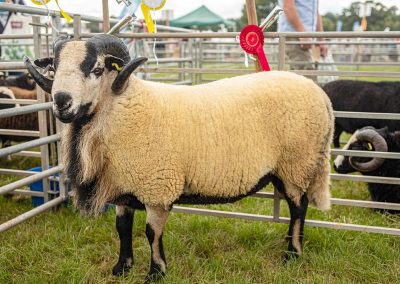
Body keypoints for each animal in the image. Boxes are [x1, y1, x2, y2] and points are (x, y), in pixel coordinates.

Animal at [25, 33, 334, 282]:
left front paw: (156, 272)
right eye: (54, 68)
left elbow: (152, 233)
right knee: (296, 206)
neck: (120, 108)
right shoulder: (124, 185)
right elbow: (122, 228)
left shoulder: (157, 187)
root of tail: (321, 95)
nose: (62, 102)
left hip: (297, 163)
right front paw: (122, 268)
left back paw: (293, 253)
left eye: (98, 69)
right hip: (285, 169)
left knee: (299, 207)